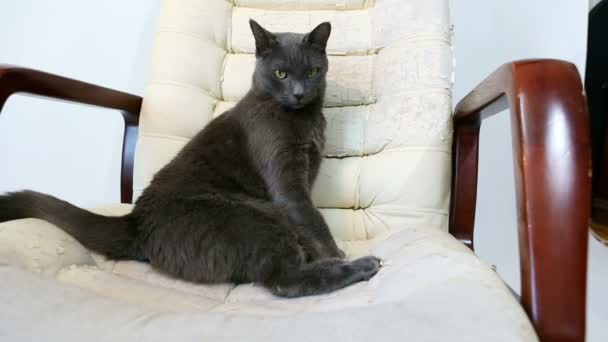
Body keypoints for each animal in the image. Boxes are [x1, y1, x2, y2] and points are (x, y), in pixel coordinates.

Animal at [0, 20, 380, 296]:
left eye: (313, 71)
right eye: (281, 74)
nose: (299, 93)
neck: (303, 119)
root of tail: (135, 221)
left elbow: (308, 219)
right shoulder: (286, 181)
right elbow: (310, 217)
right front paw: (334, 253)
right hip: (253, 215)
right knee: (282, 280)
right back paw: (362, 266)